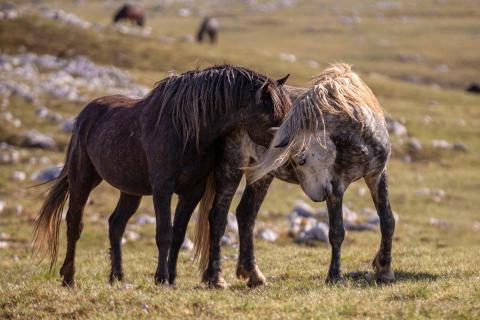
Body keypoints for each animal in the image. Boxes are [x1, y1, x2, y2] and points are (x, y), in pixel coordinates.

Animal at [32, 65, 292, 288]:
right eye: (275, 118)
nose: (287, 153)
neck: (187, 129)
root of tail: (85, 114)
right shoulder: (162, 189)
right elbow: (164, 233)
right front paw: (161, 277)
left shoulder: (192, 191)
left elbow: (177, 234)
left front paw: (172, 278)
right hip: (83, 179)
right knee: (74, 223)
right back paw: (69, 278)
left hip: (130, 190)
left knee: (116, 224)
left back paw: (117, 276)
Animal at [246, 64, 396, 282]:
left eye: (300, 159)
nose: (317, 196)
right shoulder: (337, 186)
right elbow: (336, 232)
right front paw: (334, 275)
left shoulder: (376, 175)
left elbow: (387, 221)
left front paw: (384, 270)